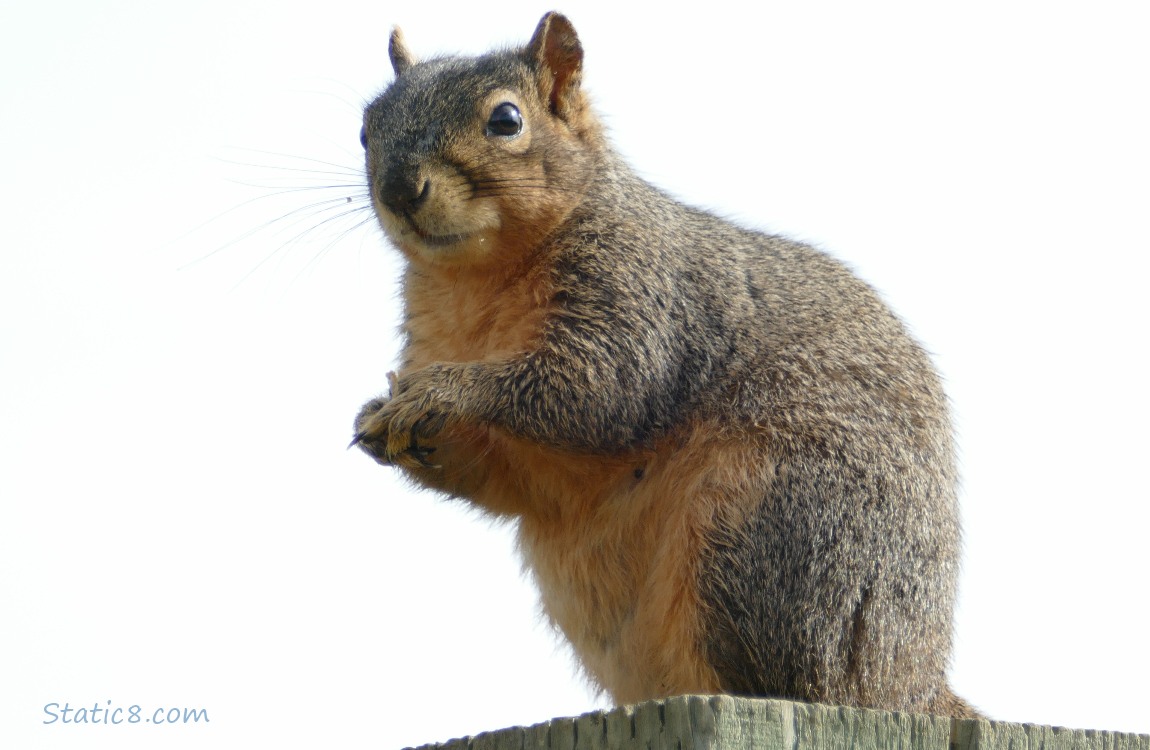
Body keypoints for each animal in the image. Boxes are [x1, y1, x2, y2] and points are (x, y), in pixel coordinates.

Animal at [351, 12, 979, 718]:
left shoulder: (642, 296)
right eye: (366, 127)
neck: (475, 281)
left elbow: (596, 389)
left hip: (771, 533)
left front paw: (443, 394)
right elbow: (505, 476)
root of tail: (913, 684)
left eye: (506, 120)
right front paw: (382, 418)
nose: (399, 188)